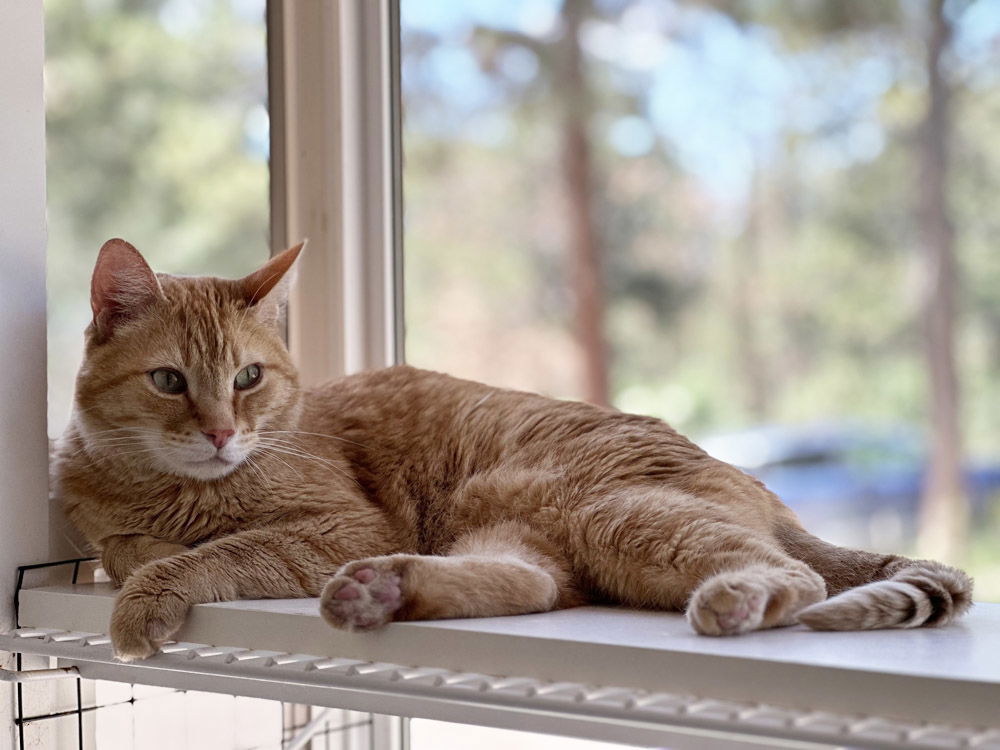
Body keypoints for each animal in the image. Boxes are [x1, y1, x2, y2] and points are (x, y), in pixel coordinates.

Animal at [50, 241, 972, 664]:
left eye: (247, 377)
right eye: (170, 380)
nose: (220, 432)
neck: (169, 490)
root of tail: (757, 483)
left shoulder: (340, 527)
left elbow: (215, 553)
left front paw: (150, 592)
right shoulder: (109, 519)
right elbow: (126, 547)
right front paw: (141, 554)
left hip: (614, 513)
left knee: (798, 574)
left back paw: (737, 599)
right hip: (514, 527)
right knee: (533, 586)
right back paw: (384, 591)